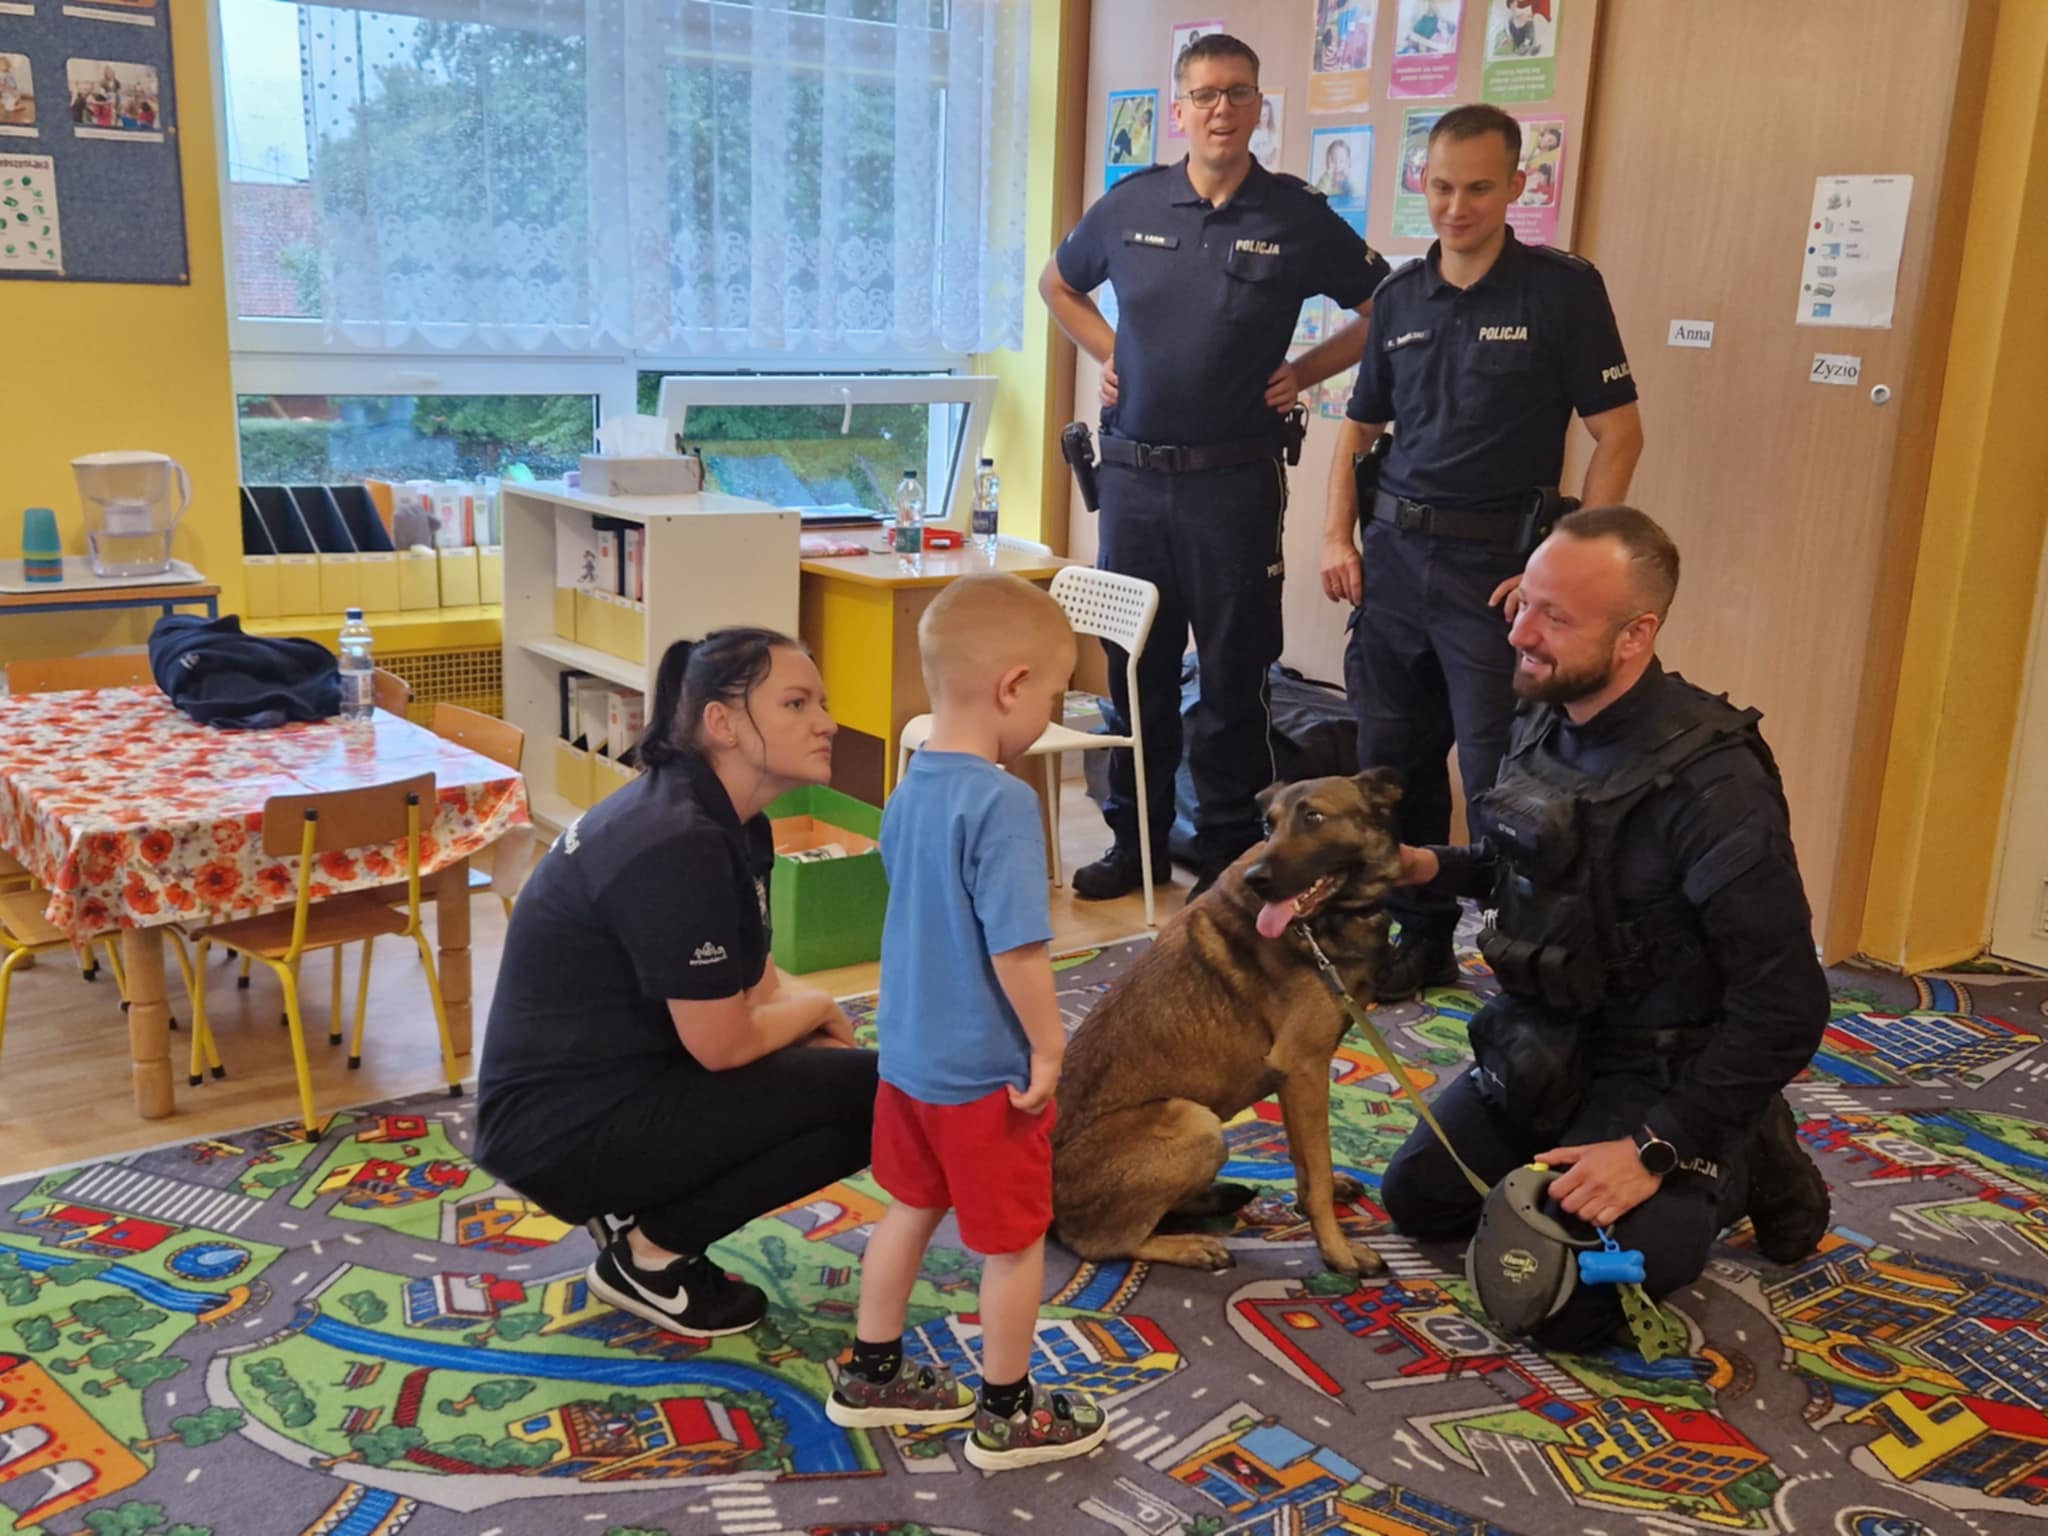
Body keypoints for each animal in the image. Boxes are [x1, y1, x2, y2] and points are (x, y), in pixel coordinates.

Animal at [1051, 770, 1405, 1276]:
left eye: (1313, 818)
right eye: (1268, 825)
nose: (1258, 880)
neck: (1325, 922)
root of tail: (1049, 1207)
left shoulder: (1293, 1078)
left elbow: (1305, 1161)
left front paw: (1314, 1203)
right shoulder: (1304, 1068)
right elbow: (1316, 1169)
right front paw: (1337, 1251)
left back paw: (1211, 1200)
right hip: (1195, 1120)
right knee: (1104, 1242)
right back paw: (1191, 1245)